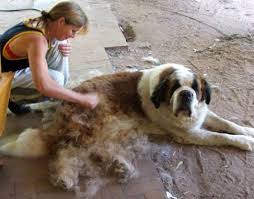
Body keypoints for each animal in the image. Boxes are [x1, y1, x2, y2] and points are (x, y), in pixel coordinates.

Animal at [0, 63, 254, 197]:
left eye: (195, 88)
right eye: (175, 88)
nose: (186, 94)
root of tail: (62, 105)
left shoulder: (202, 115)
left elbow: (226, 124)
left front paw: (247, 131)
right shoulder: (190, 134)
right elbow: (219, 136)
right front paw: (245, 142)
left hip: (110, 129)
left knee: (99, 150)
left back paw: (120, 165)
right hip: (94, 127)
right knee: (68, 152)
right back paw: (65, 178)